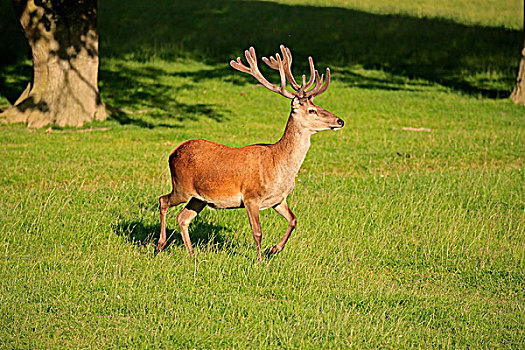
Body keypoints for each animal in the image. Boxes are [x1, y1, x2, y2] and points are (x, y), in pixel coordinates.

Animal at [157, 45, 344, 262]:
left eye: (320, 106)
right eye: (312, 110)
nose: (340, 121)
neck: (279, 166)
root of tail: (173, 153)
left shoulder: (278, 199)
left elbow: (294, 220)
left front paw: (274, 249)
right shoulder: (251, 196)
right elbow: (257, 231)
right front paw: (260, 260)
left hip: (199, 198)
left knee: (183, 218)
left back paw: (191, 254)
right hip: (182, 187)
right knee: (163, 201)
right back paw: (160, 245)